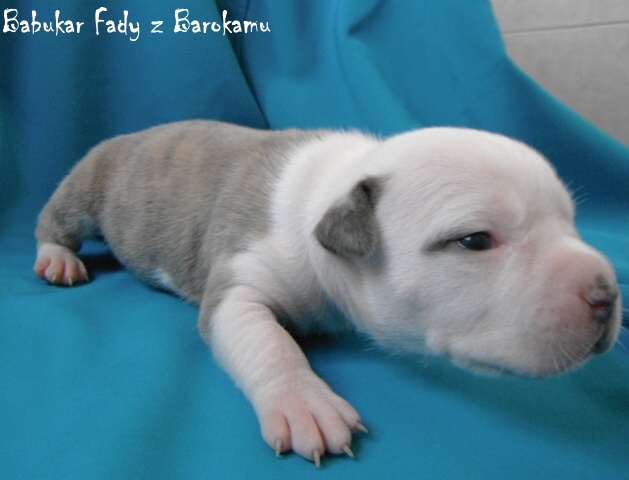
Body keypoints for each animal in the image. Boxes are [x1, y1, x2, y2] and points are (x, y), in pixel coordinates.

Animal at [34, 120, 621, 466]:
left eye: (571, 222)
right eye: (475, 240)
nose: (607, 292)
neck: (328, 192)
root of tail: (136, 132)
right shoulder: (241, 283)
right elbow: (267, 342)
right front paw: (303, 403)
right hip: (87, 183)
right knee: (56, 217)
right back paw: (58, 257)